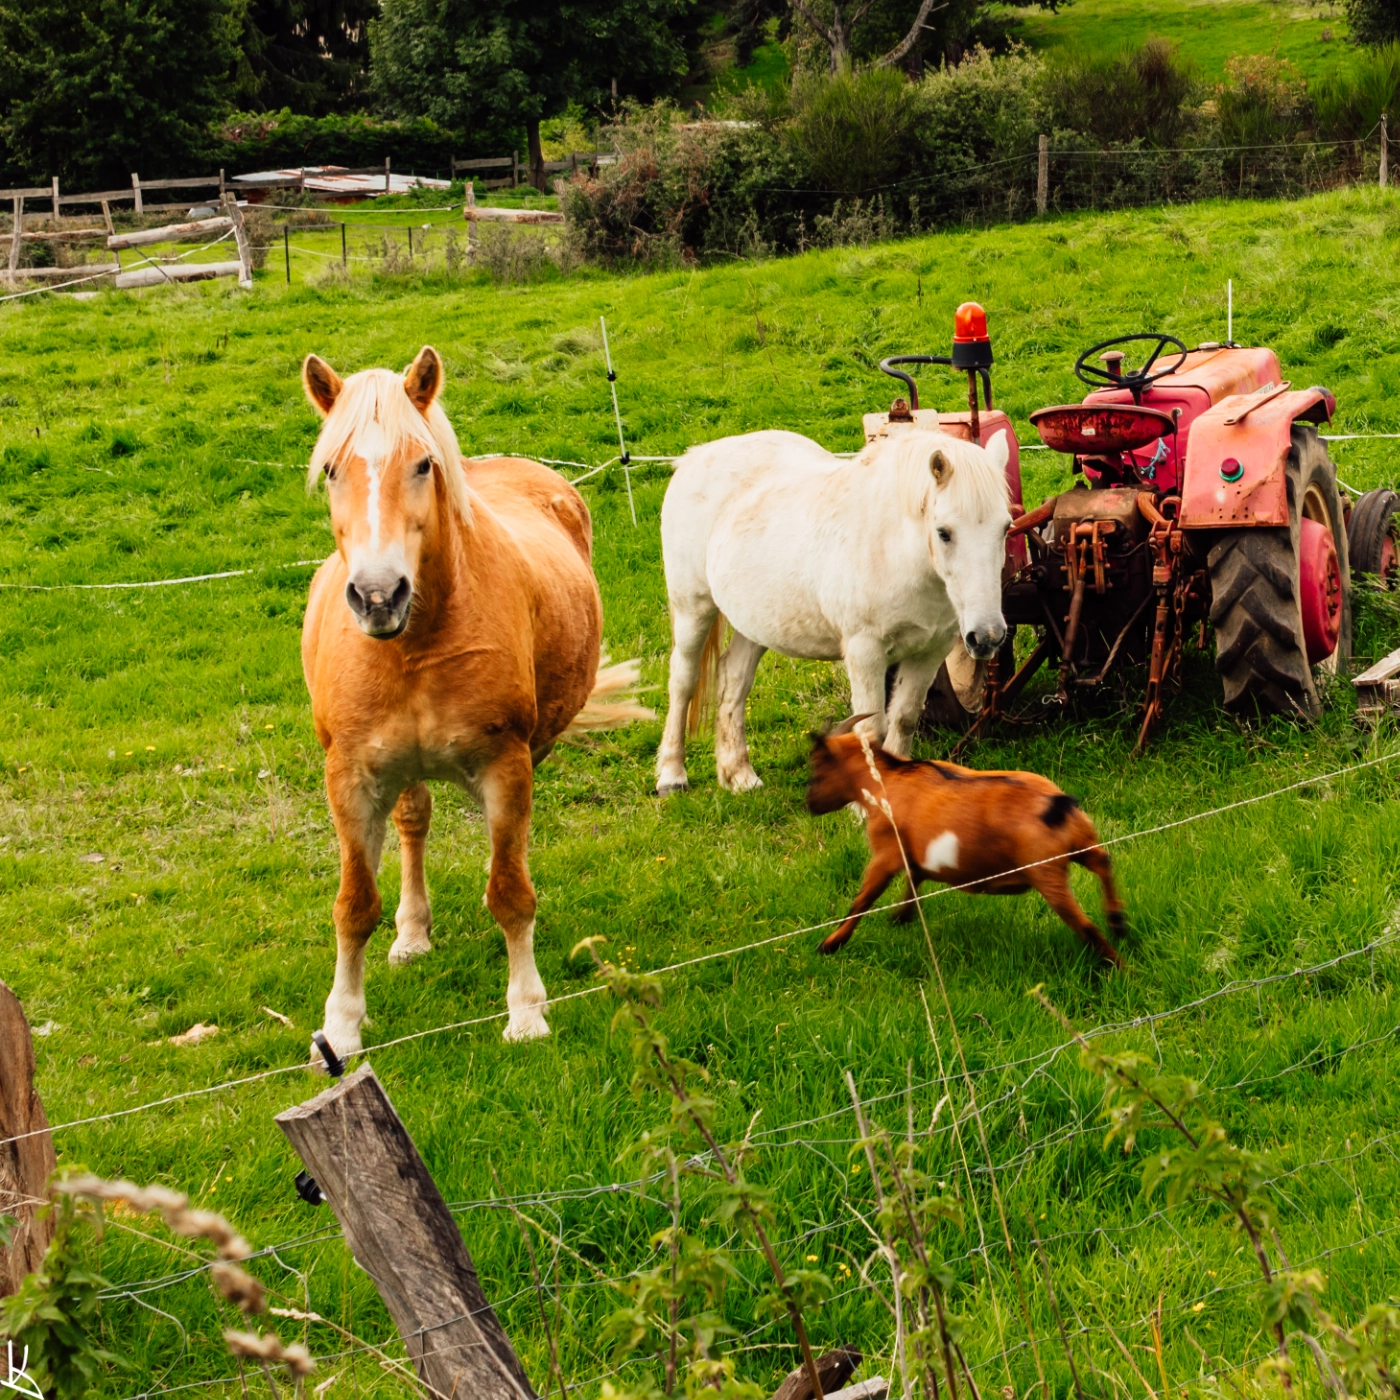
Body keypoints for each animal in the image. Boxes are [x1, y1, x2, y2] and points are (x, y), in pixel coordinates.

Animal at [300, 346, 647, 1060]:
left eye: (423, 463)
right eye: (331, 469)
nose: (378, 596)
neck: (417, 645)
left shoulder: (505, 766)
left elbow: (511, 891)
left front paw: (526, 1012)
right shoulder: (350, 777)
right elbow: (354, 904)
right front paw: (341, 1028)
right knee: (413, 825)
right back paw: (411, 934)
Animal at [655, 428, 1011, 795]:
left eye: (1005, 527)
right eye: (944, 533)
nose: (987, 636)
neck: (895, 551)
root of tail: (694, 457)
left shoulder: (930, 651)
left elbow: (904, 719)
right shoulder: (865, 652)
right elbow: (871, 731)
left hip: (753, 623)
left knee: (733, 679)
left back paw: (739, 775)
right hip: (693, 608)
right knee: (683, 680)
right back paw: (672, 776)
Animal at [806, 725, 1126, 967]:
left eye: (818, 769)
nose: (809, 804)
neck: (886, 778)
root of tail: (1055, 804)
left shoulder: (886, 852)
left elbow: (862, 900)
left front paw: (830, 944)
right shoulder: (915, 853)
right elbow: (914, 879)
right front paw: (900, 918)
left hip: (1045, 871)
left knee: (1083, 923)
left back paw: (1119, 967)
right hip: (1080, 842)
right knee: (1103, 861)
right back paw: (1117, 921)